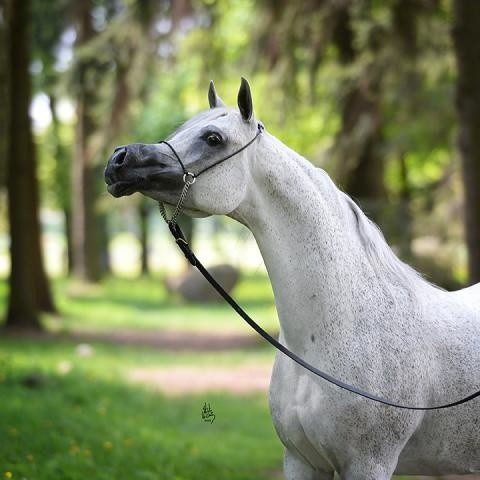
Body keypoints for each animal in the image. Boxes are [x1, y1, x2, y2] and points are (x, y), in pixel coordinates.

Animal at [107, 79, 480, 480]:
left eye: (213, 138)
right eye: (181, 130)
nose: (118, 160)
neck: (343, 325)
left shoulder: (369, 464)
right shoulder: (301, 460)